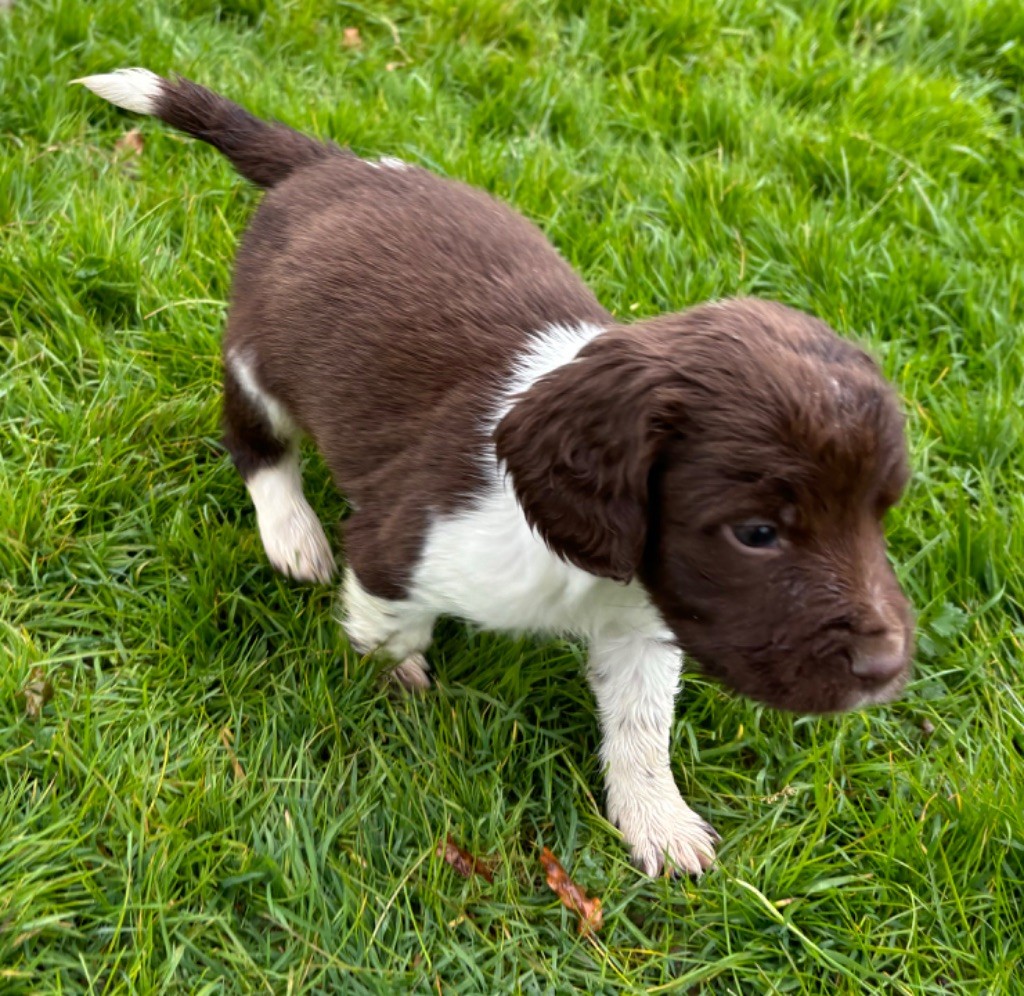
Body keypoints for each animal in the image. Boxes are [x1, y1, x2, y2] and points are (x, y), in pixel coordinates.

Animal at [75, 70, 917, 876]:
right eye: (756, 533)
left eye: (879, 514)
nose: (885, 669)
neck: (590, 572)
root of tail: (328, 164)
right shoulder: (395, 546)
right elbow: (389, 626)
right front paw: (397, 675)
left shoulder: (644, 628)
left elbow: (642, 725)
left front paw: (658, 821)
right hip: (259, 357)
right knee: (254, 441)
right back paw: (292, 532)